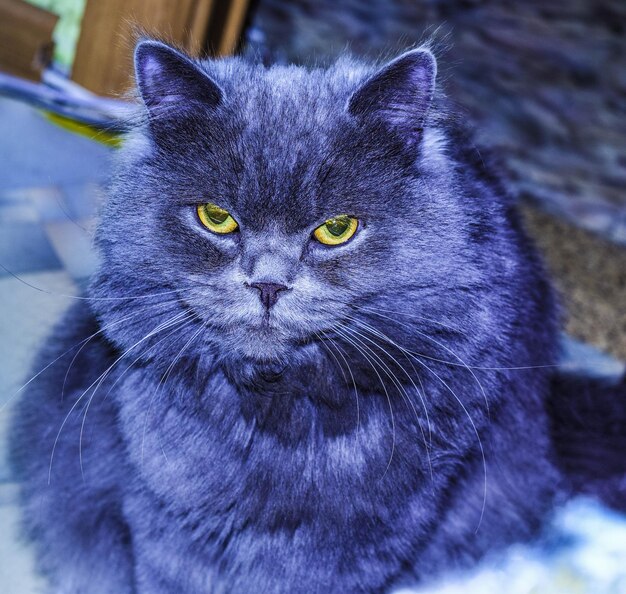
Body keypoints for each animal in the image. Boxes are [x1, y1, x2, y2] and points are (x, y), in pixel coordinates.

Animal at [9, 39, 624, 588]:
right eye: (216, 218)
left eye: (336, 229)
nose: (268, 283)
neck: (277, 410)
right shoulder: (169, 513)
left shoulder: (366, 535)